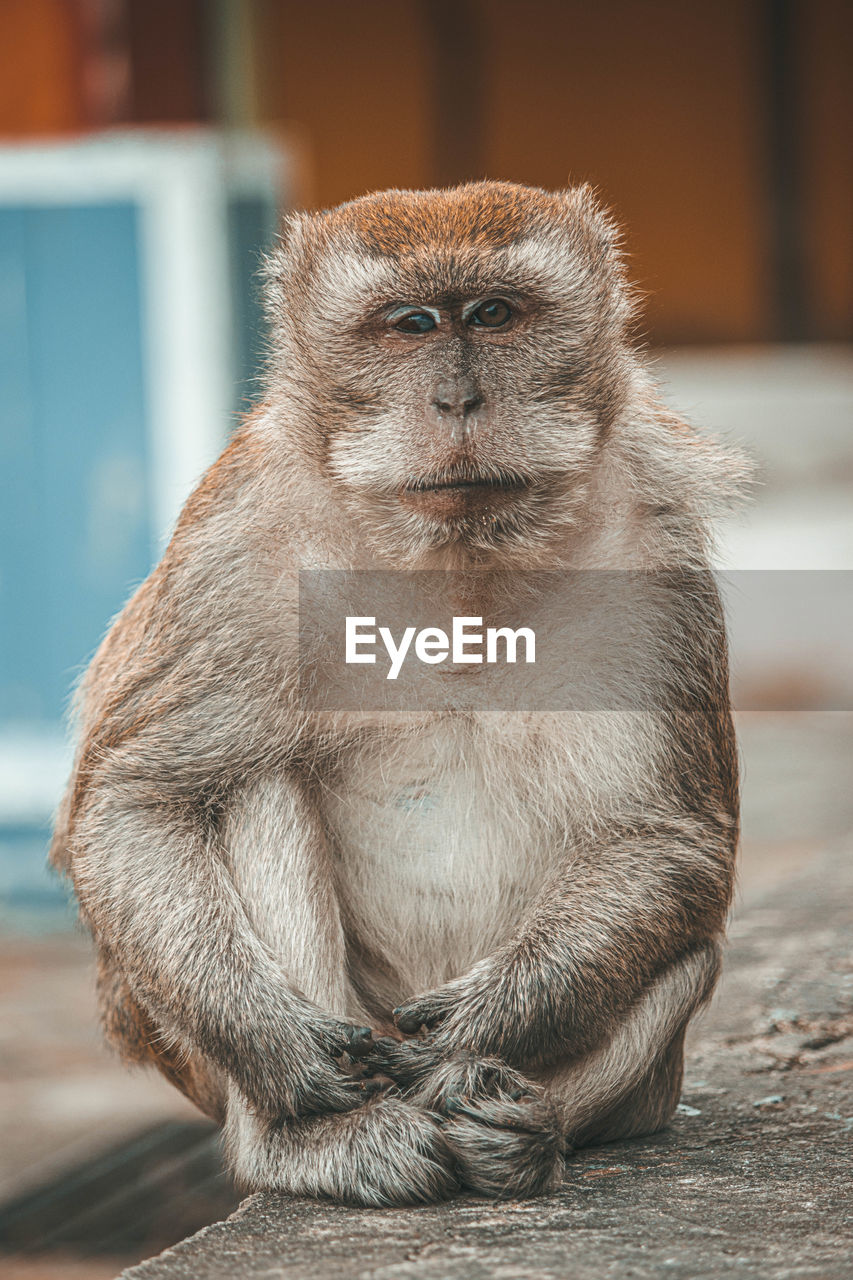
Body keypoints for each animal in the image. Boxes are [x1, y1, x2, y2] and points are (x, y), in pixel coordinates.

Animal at [49, 183, 747, 1208]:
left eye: (492, 314)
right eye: (410, 324)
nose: (457, 398)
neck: (453, 562)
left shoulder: (655, 549)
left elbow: (669, 840)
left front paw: (475, 1030)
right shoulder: (235, 551)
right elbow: (137, 803)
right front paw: (278, 1046)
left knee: (686, 945)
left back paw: (507, 1122)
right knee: (246, 785)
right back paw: (312, 1143)